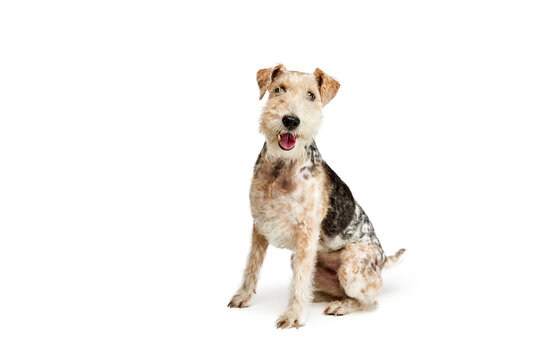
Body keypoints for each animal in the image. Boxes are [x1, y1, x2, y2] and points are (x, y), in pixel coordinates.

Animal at [226, 64, 402, 330]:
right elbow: (252, 265)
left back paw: (339, 306)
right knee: (335, 290)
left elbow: (299, 279)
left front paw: (293, 316)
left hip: (351, 267)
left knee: (368, 301)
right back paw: (317, 296)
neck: (282, 165)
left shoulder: (306, 231)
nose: (290, 120)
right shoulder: (259, 224)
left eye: (311, 95)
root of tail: (383, 259)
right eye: (279, 89)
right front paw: (243, 297)